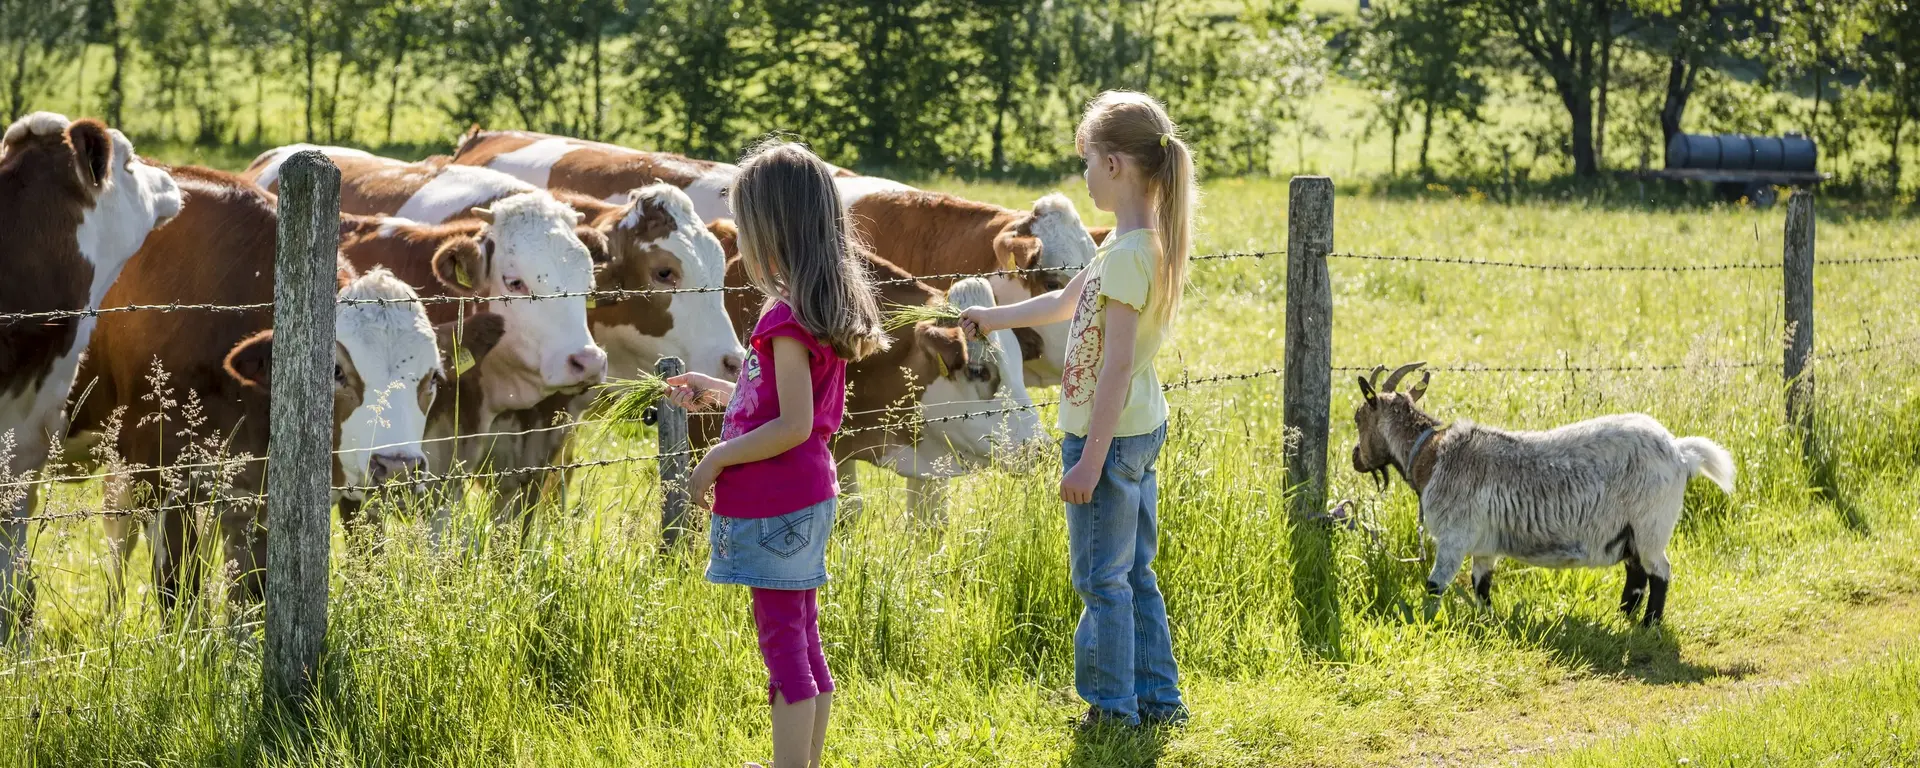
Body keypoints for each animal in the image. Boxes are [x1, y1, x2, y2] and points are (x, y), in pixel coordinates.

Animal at [1351, 360, 1743, 622]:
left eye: (1357, 417)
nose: (1356, 458)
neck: (1433, 455)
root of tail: (1680, 451)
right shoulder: (1483, 545)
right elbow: (1481, 585)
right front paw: (1487, 622)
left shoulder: (1454, 536)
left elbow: (1435, 585)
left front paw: (1425, 622)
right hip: (1630, 528)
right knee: (1637, 571)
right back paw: (1624, 617)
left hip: (1652, 523)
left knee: (1659, 571)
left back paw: (1649, 624)